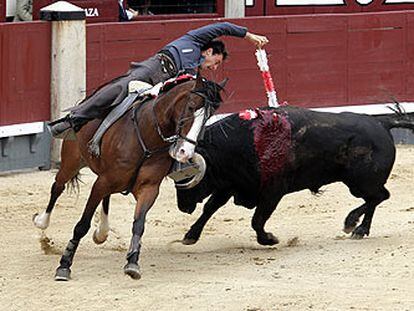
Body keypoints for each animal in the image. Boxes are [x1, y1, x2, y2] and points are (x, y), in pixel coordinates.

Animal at [39, 75, 226, 282]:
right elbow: (82, 225)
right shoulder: (102, 182)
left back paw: (102, 232)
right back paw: (42, 222)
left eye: (208, 116)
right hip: (72, 161)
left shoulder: (148, 188)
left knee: (105, 197)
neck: (148, 135)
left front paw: (132, 263)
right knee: (58, 187)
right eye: (192, 107)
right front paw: (64, 266)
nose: (185, 152)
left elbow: (139, 224)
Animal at [175, 106, 414, 245]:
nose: (182, 207)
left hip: (361, 182)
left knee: (379, 196)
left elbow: (257, 219)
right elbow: (210, 208)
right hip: (360, 184)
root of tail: (382, 122)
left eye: (188, 178)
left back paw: (353, 223)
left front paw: (268, 239)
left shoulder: (272, 192)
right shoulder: (231, 184)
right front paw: (190, 236)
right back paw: (359, 229)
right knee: (375, 198)